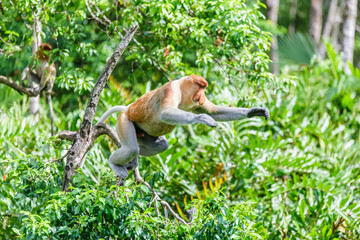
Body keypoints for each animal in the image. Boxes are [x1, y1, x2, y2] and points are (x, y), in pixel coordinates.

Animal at [97, 74, 268, 178]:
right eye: (201, 87)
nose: (203, 96)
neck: (181, 89)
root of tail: (126, 109)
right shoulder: (170, 91)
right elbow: (165, 113)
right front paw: (202, 118)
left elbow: (214, 111)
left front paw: (255, 111)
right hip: (124, 121)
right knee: (132, 148)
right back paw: (115, 163)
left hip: (142, 131)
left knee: (160, 145)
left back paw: (133, 161)